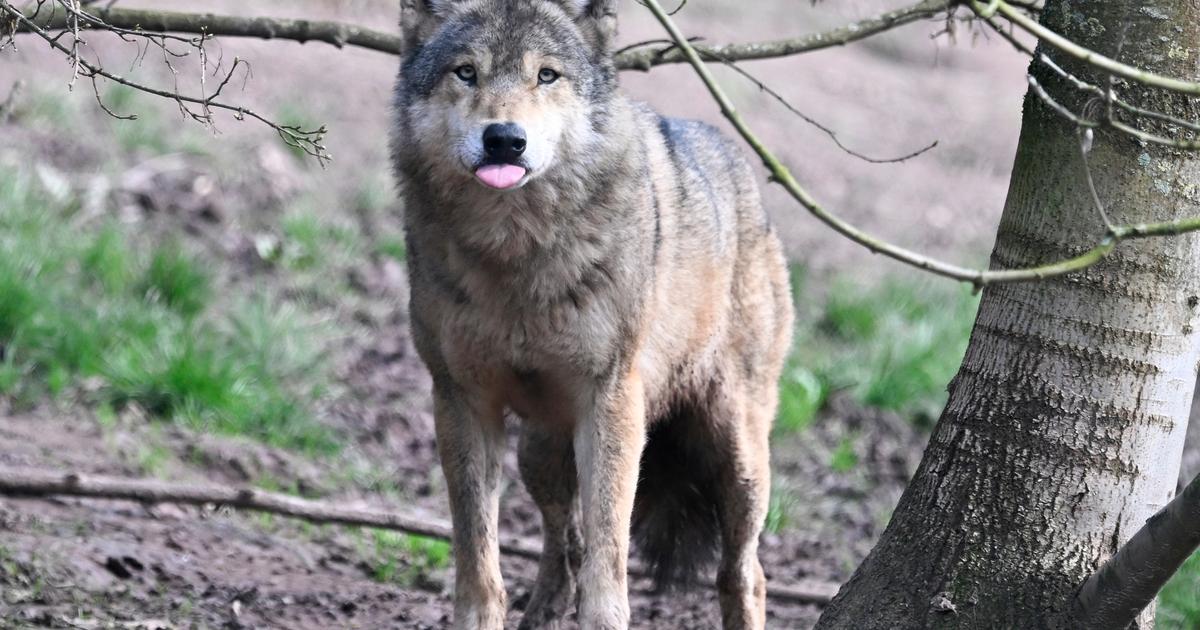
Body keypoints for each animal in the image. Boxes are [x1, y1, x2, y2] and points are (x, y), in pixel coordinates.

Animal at [391, 0, 794, 628]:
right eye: (466, 73)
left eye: (546, 75)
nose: (504, 139)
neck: (516, 253)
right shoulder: (461, 401)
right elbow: (479, 559)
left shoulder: (612, 402)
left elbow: (610, 557)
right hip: (538, 450)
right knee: (564, 546)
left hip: (737, 454)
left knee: (744, 573)